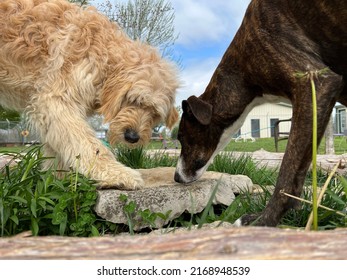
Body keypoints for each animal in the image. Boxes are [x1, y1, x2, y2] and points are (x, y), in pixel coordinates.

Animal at [0, 0, 179, 189]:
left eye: (155, 113)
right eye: (131, 99)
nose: (132, 137)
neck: (105, 56)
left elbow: (57, 151)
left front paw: (57, 181)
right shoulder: (55, 101)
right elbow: (86, 142)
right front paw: (115, 173)